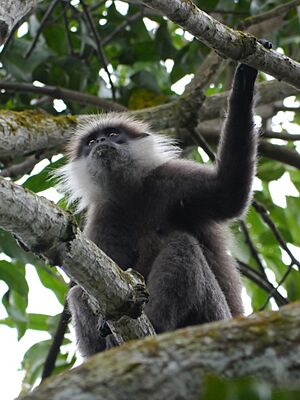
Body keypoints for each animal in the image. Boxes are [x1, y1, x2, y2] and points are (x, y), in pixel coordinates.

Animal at [55, 58, 262, 356]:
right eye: (92, 142)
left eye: (113, 134)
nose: (102, 143)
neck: (131, 195)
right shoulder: (104, 216)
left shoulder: (169, 180)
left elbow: (229, 192)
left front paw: (244, 83)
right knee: (78, 293)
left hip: (213, 316)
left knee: (182, 244)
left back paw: (157, 323)